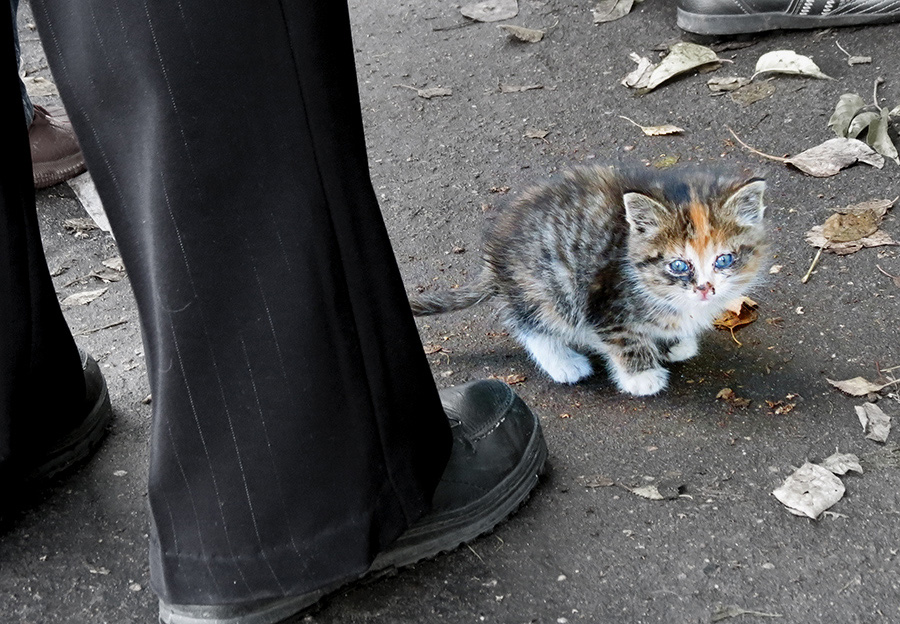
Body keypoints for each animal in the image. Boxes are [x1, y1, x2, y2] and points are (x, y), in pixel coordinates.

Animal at [408, 165, 768, 394]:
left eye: (724, 260)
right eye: (679, 265)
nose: (706, 289)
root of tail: (495, 256)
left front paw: (676, 342)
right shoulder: (606, 301)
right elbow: (624, 338)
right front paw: (642, 377)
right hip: (548, 286)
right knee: (530, 324)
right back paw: (563, 363)